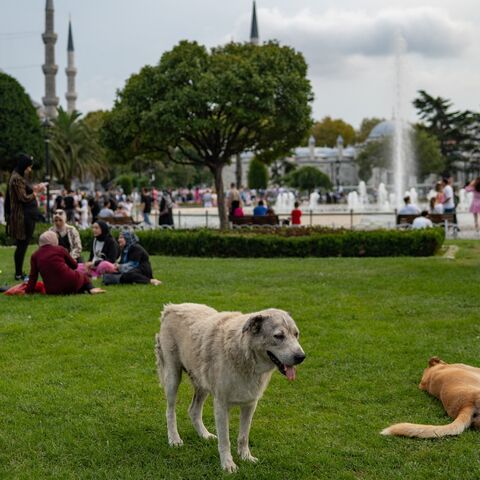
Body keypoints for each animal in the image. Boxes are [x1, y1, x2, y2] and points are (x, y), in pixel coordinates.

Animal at [154, 304, 306, 472]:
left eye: (296, 334)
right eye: (279, 336)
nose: (301, 357)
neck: (245, 354)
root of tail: (171, 307)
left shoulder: (250, 404)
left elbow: (243, 436)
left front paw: (246, 457)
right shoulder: (221, 405)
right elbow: (225, 440)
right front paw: (228, 465)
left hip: (202, 384)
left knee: (193, 410)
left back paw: (205, 435)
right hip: (173, 378)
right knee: (170, 411)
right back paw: (174, 439)